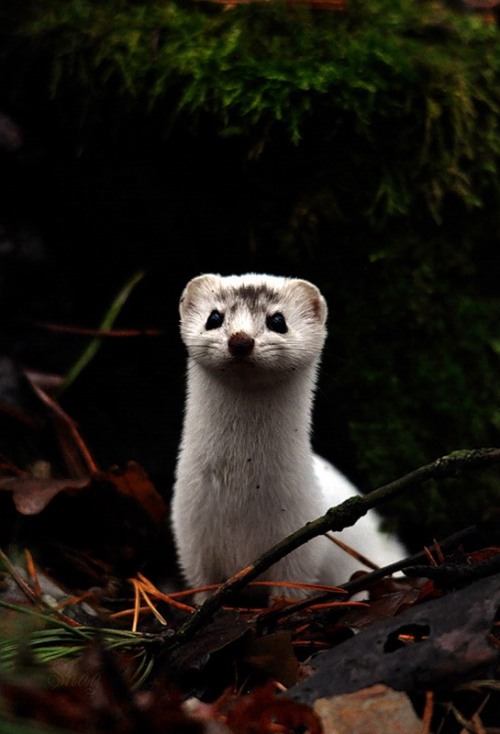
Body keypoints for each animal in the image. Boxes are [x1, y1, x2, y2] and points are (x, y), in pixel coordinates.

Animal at [172, 274, 406, 600]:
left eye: (278, 320)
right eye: (214, 317)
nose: (240, 340)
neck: (241, 495)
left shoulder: (301, 537)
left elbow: (291, 586)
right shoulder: (190, 532)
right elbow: (202, 584)